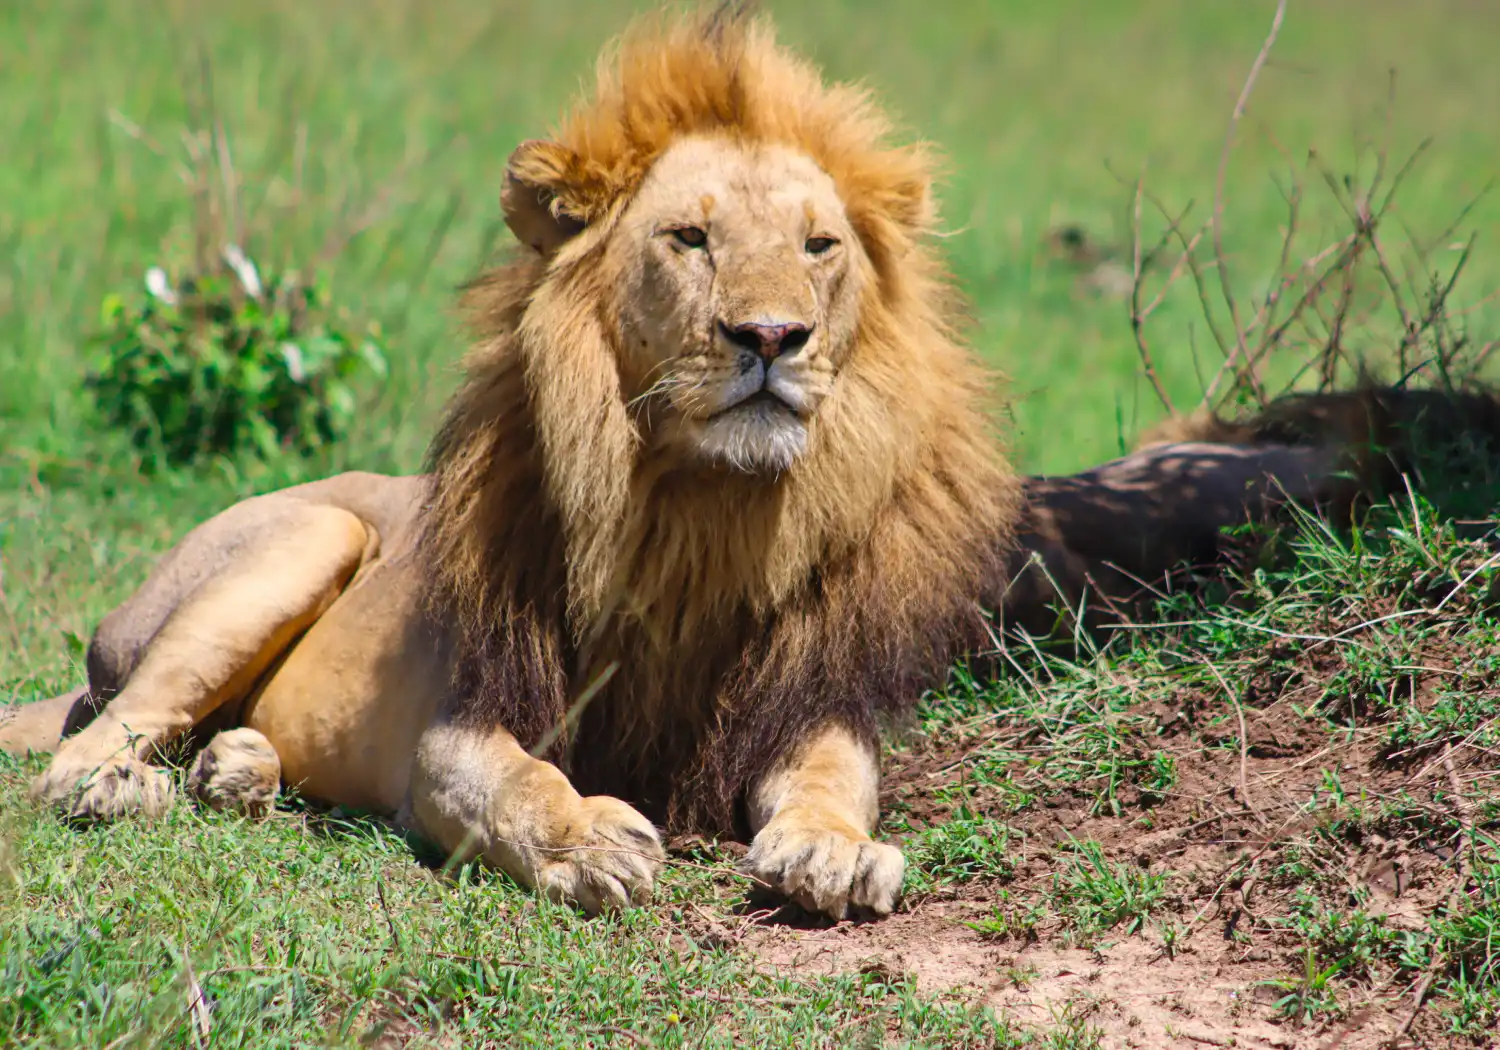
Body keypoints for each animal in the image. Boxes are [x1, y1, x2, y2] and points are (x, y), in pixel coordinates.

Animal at [0, 7, 1481, 920]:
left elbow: (830, 778)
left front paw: (832, 850)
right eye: (692, 238)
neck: (704, 508)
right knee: (86, 744)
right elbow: (515, 784)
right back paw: (137, 780)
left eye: (819, 246)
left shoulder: (800, 690)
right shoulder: (462, 717)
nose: (770, 336)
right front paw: (590, 838)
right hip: (302, 540)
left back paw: (239, 769)